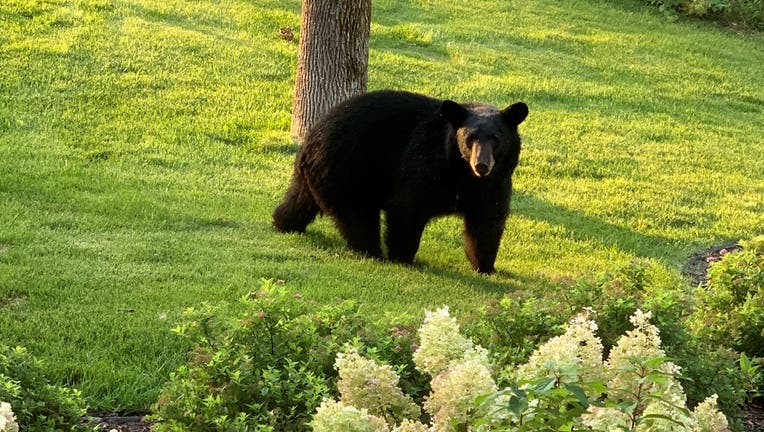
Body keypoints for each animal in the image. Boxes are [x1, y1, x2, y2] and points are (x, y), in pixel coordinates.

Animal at [272, 90, 528, 274]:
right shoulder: (424, 162)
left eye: (495, 138)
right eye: (470, 138)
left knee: (300, 200)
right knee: (358, 218)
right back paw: (372, 251)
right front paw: (403, 258)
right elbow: (407, 207)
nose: (481, 165)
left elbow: (487, 221)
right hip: (349, 171)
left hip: (319, 174)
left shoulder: (495, 183)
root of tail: (310, 139)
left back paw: (283, 223)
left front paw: (485, 266)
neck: (461, 173)